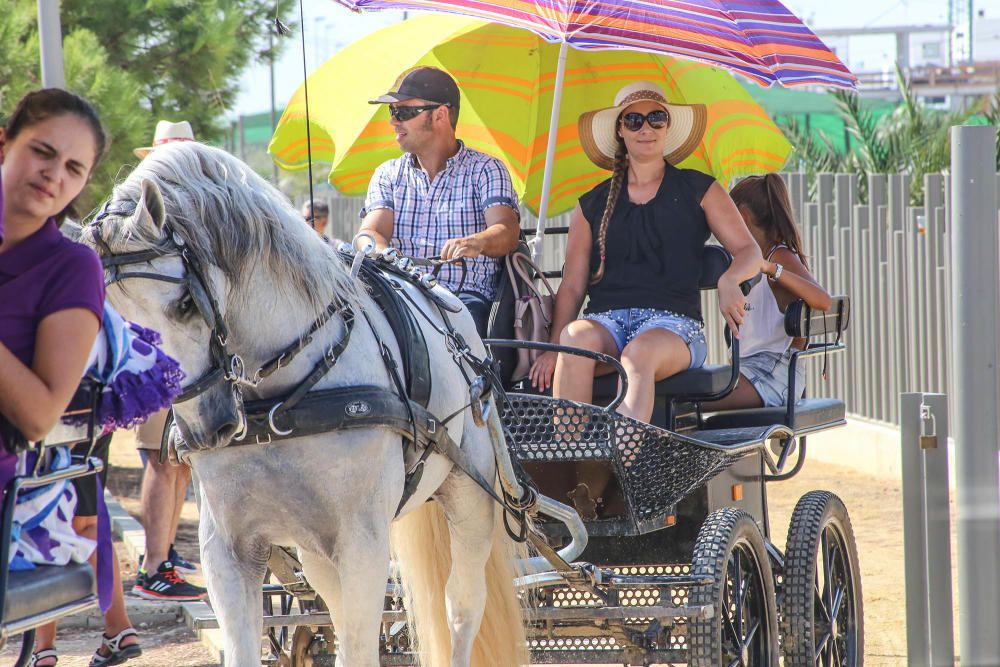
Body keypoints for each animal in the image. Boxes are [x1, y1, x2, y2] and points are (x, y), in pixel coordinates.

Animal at [84, 144, 532, 664]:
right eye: (109, 323)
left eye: (184, 304)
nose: (204, 428)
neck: (280, 403)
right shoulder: (228, 550)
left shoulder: (364, 543)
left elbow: (362, 644)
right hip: (318, 549)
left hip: (469, 496)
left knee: (461, 605)